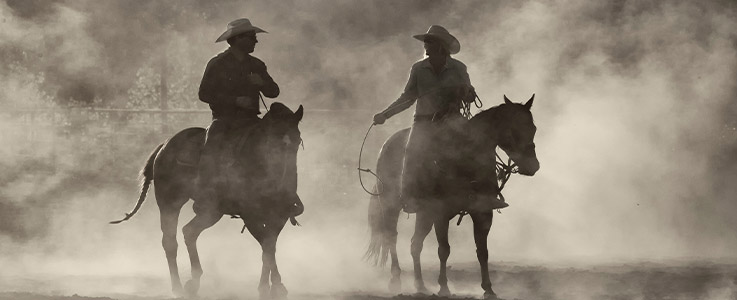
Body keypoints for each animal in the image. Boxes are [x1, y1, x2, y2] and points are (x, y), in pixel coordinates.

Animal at [110, 102, 304, 298]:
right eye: (272, 141)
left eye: (297, 140)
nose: (284, 176)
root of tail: (164, 146)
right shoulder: (250, 216)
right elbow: (266, 246)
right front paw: (270, 287)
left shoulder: (279, 216)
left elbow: (270, 246)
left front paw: (274, 286)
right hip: (169, 202)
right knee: (170, 241)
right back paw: (178, 287)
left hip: (211, 212)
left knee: (189, 231)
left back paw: (193, 282)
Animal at [366, 95, 536, 298]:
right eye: (514, 129)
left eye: (533, 128)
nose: (533, 166)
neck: (465, 159)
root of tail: (386, 146)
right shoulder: (441, 213)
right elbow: (444, 250)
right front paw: (444, 287)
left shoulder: (483, 212)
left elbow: (482, 251)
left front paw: (488, 288)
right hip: (392, 206)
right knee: (391, 237)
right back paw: (396, 280)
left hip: (424, 214)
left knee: (415, 244)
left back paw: (420, 284)